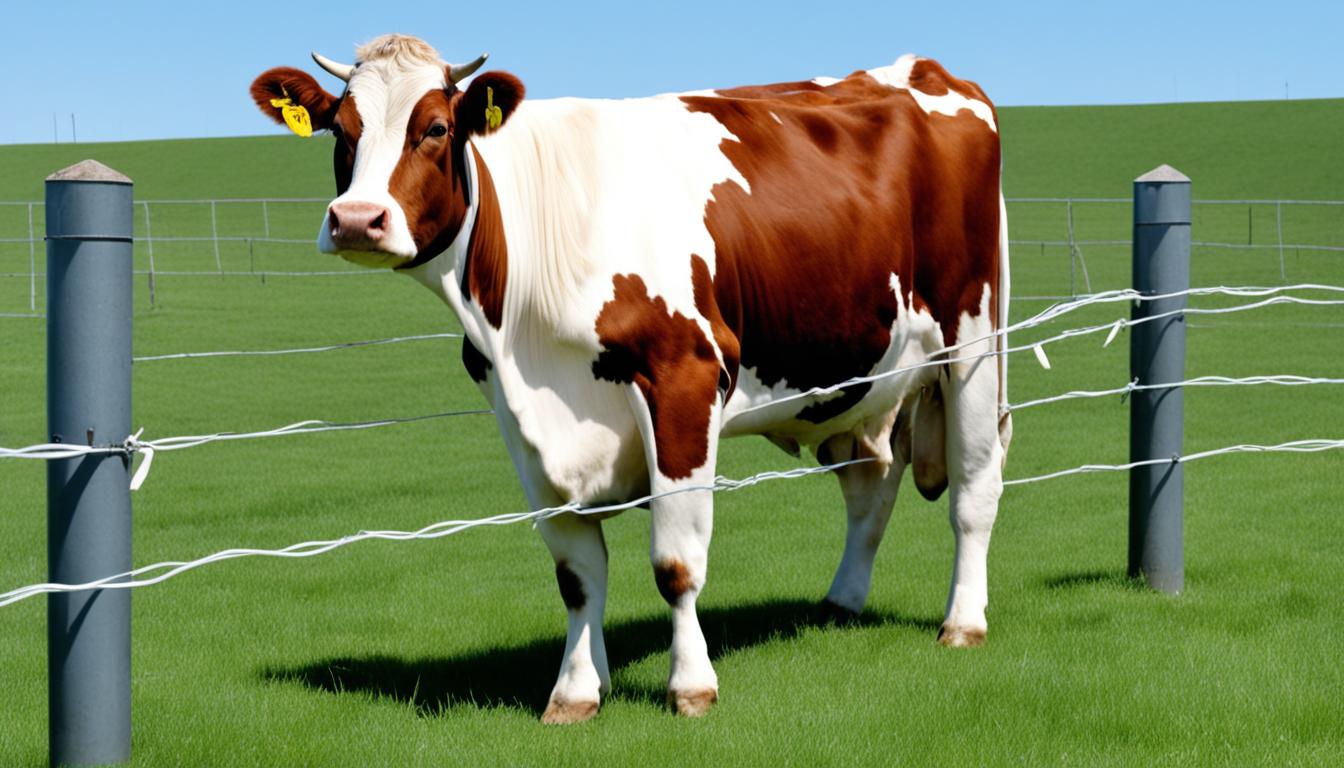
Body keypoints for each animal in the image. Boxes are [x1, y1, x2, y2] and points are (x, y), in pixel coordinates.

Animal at [250, 34, 1011, 724]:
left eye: (435, 127)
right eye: (340, 130)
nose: (356, 220)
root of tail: (923, 69)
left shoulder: (683, 379)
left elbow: (676, 563)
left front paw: (691, 687)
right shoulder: (519, 415)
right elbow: (577, 575)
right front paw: (577, 690)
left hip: (972, 341)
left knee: (974, 488)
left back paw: (964, 622)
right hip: (867, 374)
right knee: (870, 487)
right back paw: (840, 602)